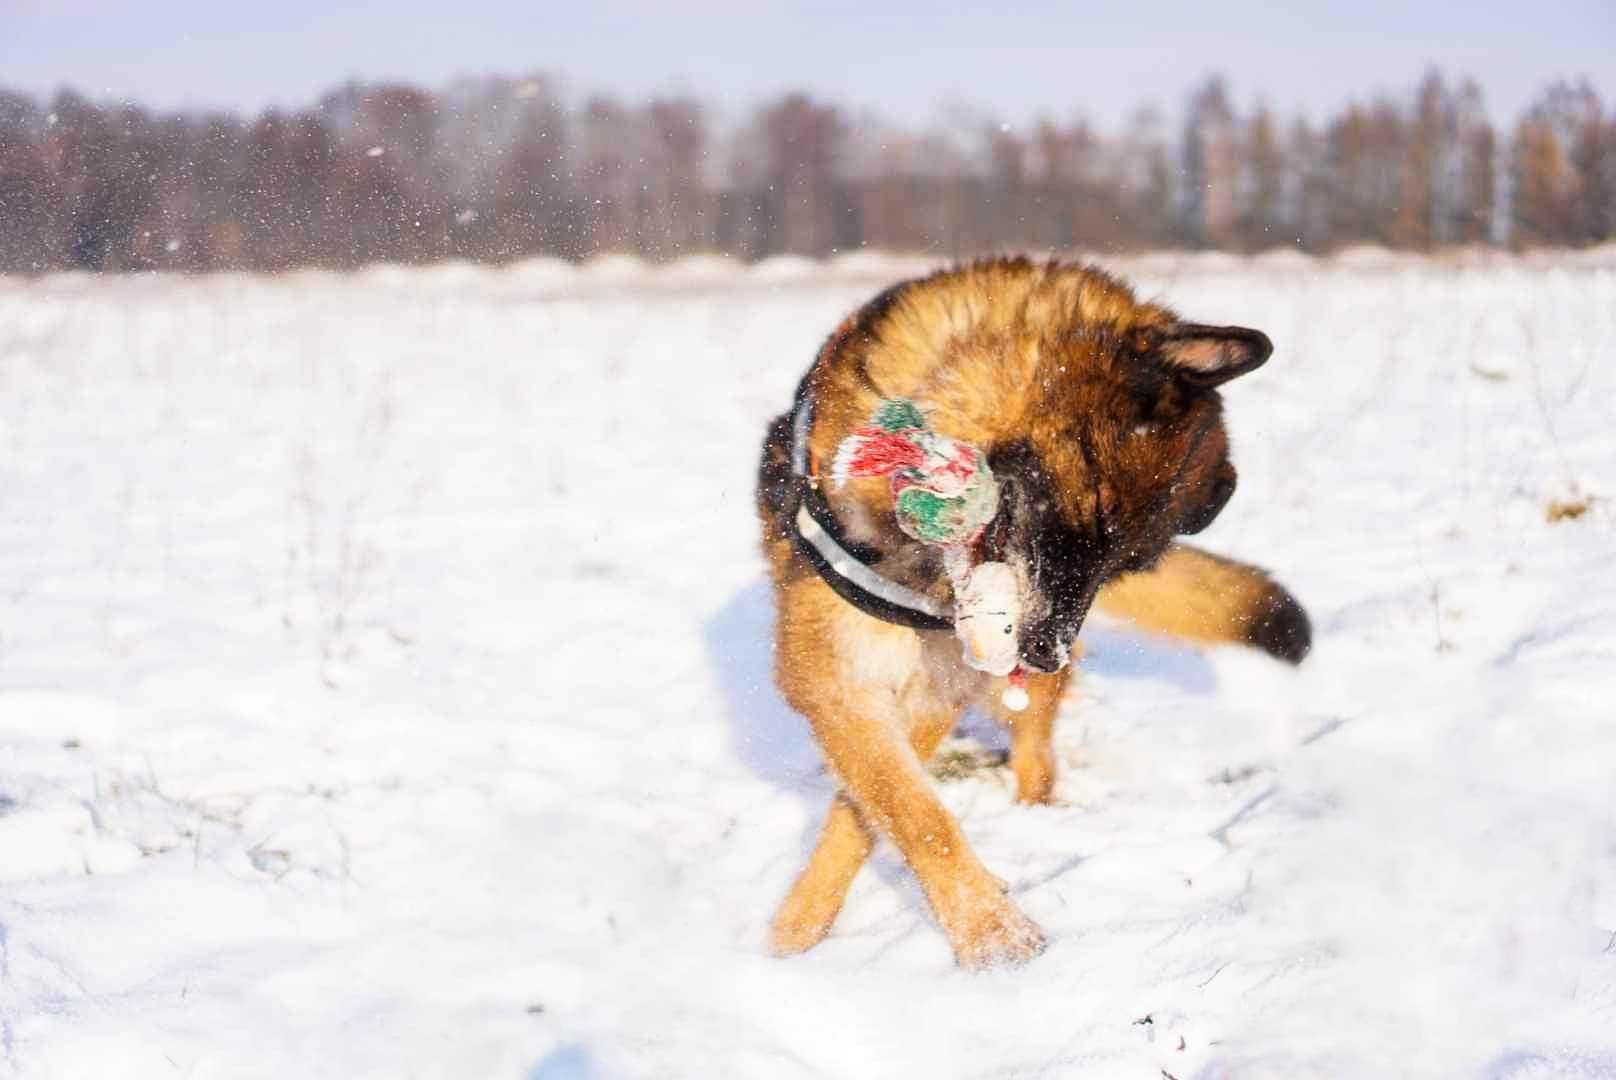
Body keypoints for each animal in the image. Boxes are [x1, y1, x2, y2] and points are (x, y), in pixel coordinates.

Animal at [749, 255, 1305, 970]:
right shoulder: (836, 682)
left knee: (1036, 755)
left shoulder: (932, 691)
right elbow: (905, 807)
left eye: (1124, 563)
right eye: (1092, 515)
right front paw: (982, 932)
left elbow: (876, 815)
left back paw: (1038, 812)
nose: (1045, 654)